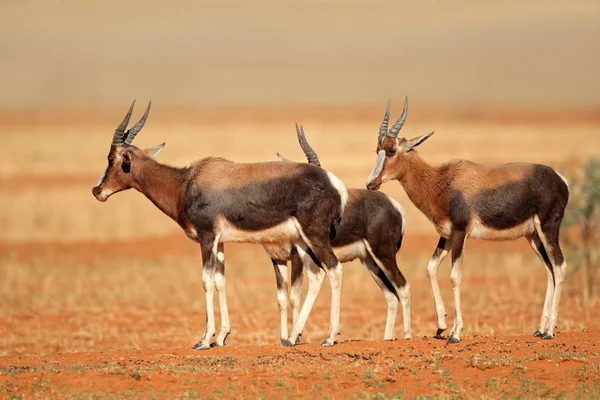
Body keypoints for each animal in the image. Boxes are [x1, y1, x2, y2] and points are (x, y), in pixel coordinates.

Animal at [91, 101, 350, 348]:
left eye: (111, 159)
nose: (97, 190)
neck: (186, 183)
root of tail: (334, 183)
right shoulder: (220, 241)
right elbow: (220, 280)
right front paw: (222, 336)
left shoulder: (206, 237)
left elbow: (206, 281)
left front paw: (205, 340)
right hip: (303, 242)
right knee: (316, 275)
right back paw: (295, 335)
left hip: (314, 237)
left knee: (334, 268)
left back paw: (329, 337)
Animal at [264, 123, 410, 342]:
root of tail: (395, 206)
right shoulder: (277, 258)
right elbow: (281, 299)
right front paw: (284, 339)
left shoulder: (298, 257)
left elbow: (294, 297)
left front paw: (295, 337)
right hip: (370, 261)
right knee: (391, 296)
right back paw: (387, 339)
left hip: (384, 255)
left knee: (402, 287)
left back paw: (407, 336)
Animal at [366, 97, 568, 344]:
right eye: (378, 149)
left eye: (392, 151)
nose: (370, 183)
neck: (443, 181)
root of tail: (560, 178)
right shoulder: (447, 235)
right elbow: (430, 268)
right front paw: (441, 326)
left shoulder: (460, 234)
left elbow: (455, 276)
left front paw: (455, 333)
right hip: (533, 236)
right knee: (549, 269)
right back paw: (540, 328)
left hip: (548, 229)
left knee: (559, 266)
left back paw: (549, 331)